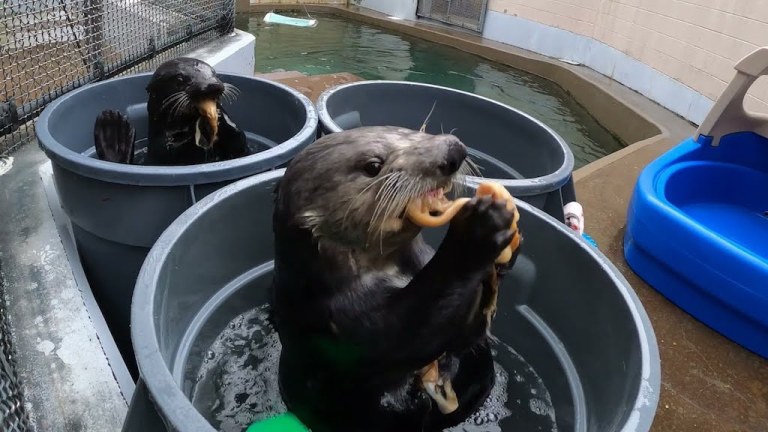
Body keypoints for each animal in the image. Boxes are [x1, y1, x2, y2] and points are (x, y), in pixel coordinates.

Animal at [92, 57, 249, 165]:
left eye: (214, 73)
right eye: (180, 79)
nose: (211, 85)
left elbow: (240, 142)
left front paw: (220, 115)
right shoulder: (164, 149)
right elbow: (177, 152)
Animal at [268, 125, 520, 432]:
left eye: (411, 130)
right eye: (373, 166)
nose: (454, 152)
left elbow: (467, 336)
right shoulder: (337, 317)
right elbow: (404, 337)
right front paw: (477, 228)